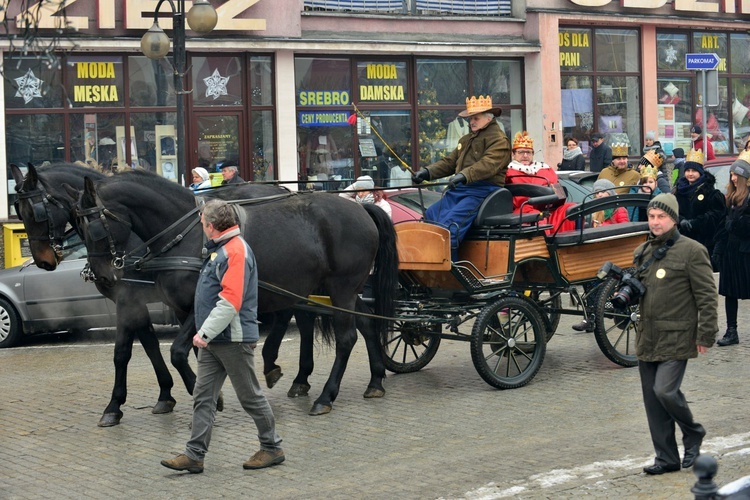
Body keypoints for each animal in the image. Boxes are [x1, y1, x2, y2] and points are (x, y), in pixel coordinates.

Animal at [71, 170, 400, 416]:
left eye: (93, 228)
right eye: (77, 225)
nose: (101, 275)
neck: (187, 235)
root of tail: (360, 208)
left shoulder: (200, 305)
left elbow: (177, 352)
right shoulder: (179, 309)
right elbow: (193, 351)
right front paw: (207, 394)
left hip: (341, 287)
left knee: (346, 338)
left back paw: (326, 396)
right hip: (343, 290)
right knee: (367, 323)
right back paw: (375, 380)